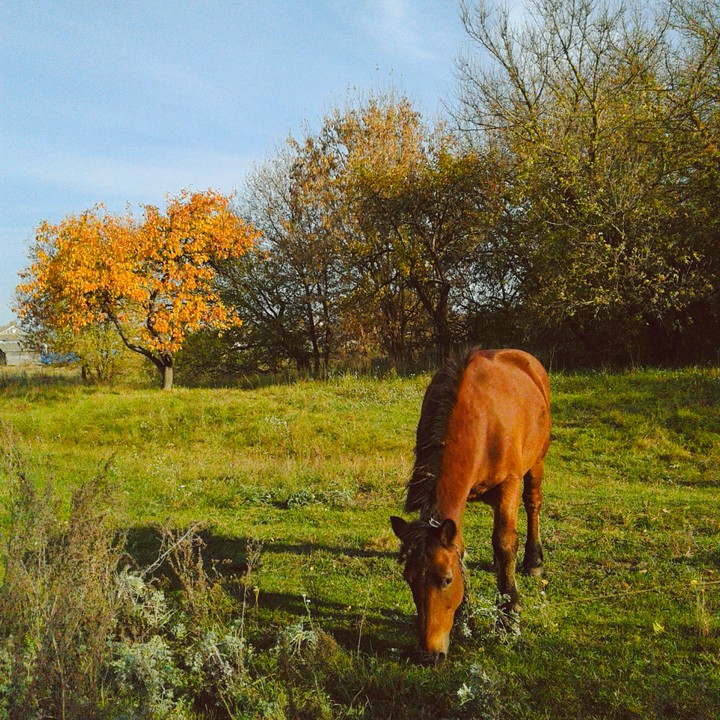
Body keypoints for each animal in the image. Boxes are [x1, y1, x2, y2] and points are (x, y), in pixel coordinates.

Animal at [390, 348, 550, 663]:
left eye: (446, 580)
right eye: (408, 580)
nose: (430, 655)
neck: (480, 421)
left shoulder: (509, 484)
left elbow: (504, 543)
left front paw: (508, 619)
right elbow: (462, 549)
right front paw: (464, 620)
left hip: (536, 463)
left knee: (533, 506)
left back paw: (533, 561)